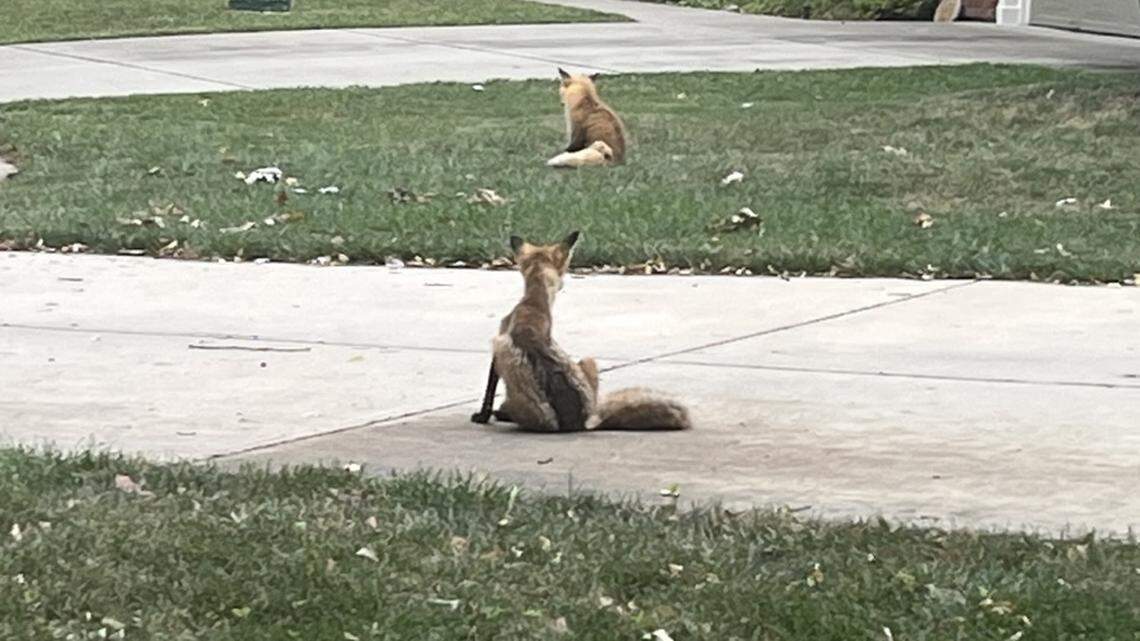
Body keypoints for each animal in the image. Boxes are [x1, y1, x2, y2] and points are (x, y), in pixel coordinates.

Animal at [469, 232, 691, 432]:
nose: (563, 285)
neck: (534, 305)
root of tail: (585, 424)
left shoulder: (498, 344)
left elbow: (489, 391)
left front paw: (483, 416)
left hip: (508, 355)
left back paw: (504, 414)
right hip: (589, 360)